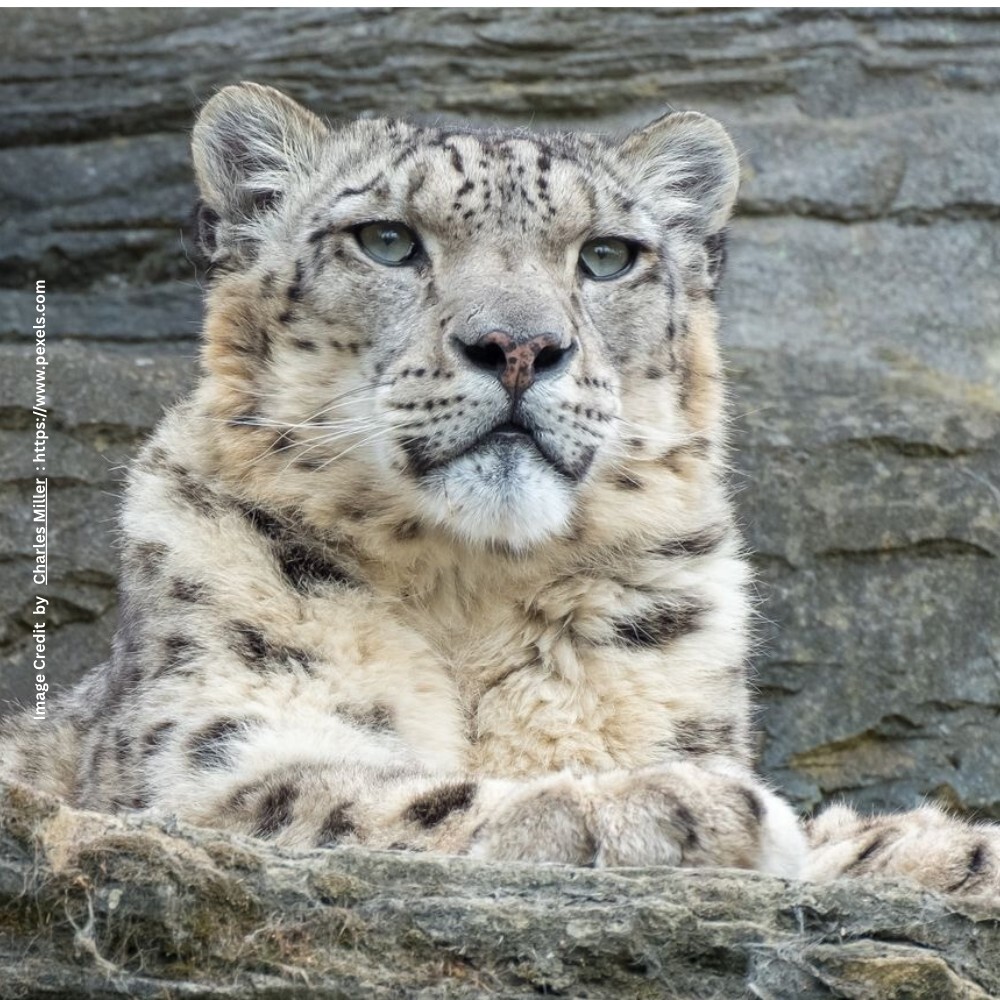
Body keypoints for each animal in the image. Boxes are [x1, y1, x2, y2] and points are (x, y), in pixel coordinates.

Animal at [2, 83, 997, 903]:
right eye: (389, 240)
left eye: (607, 256)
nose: (519, 346)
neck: (468, 586)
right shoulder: (208, 761)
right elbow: (375, 798)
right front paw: (675, 808)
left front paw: (955, 852)